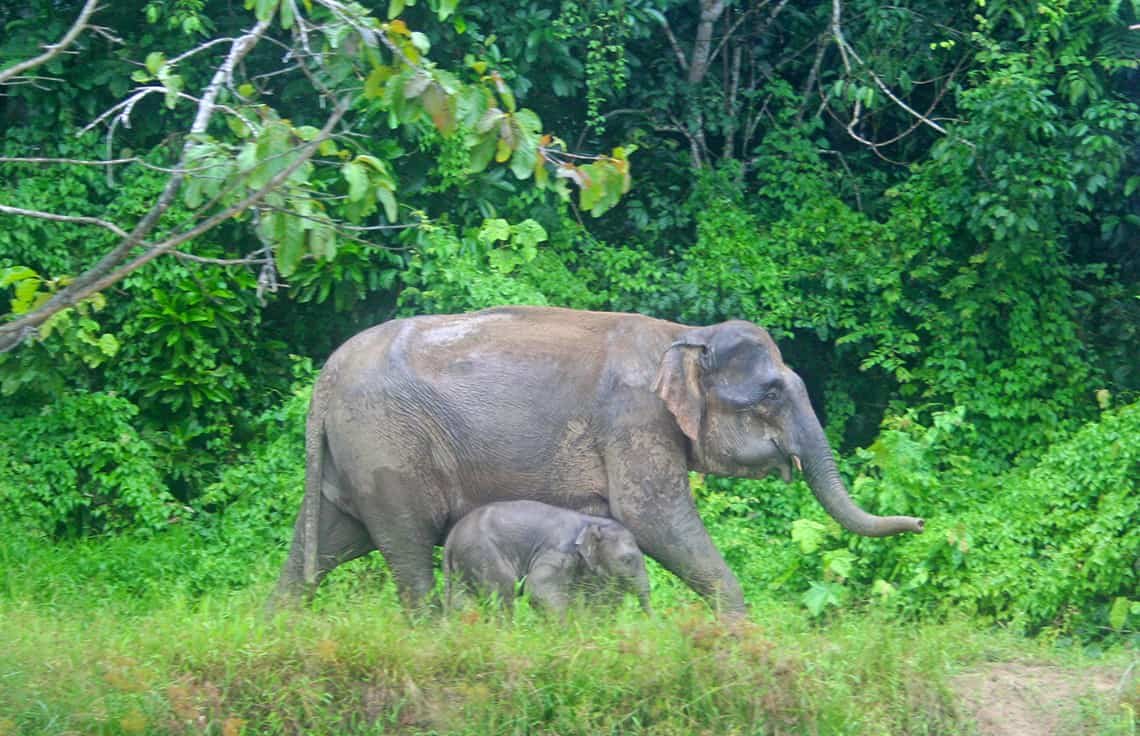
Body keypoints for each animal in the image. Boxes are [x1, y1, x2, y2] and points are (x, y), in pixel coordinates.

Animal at [449, 501, 656, 615]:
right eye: (627, 559)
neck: (592, 522)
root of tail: (451, 537)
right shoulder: (558, 553)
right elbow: (537, 586)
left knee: (461, 601)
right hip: (484, 555)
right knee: (503, 592)